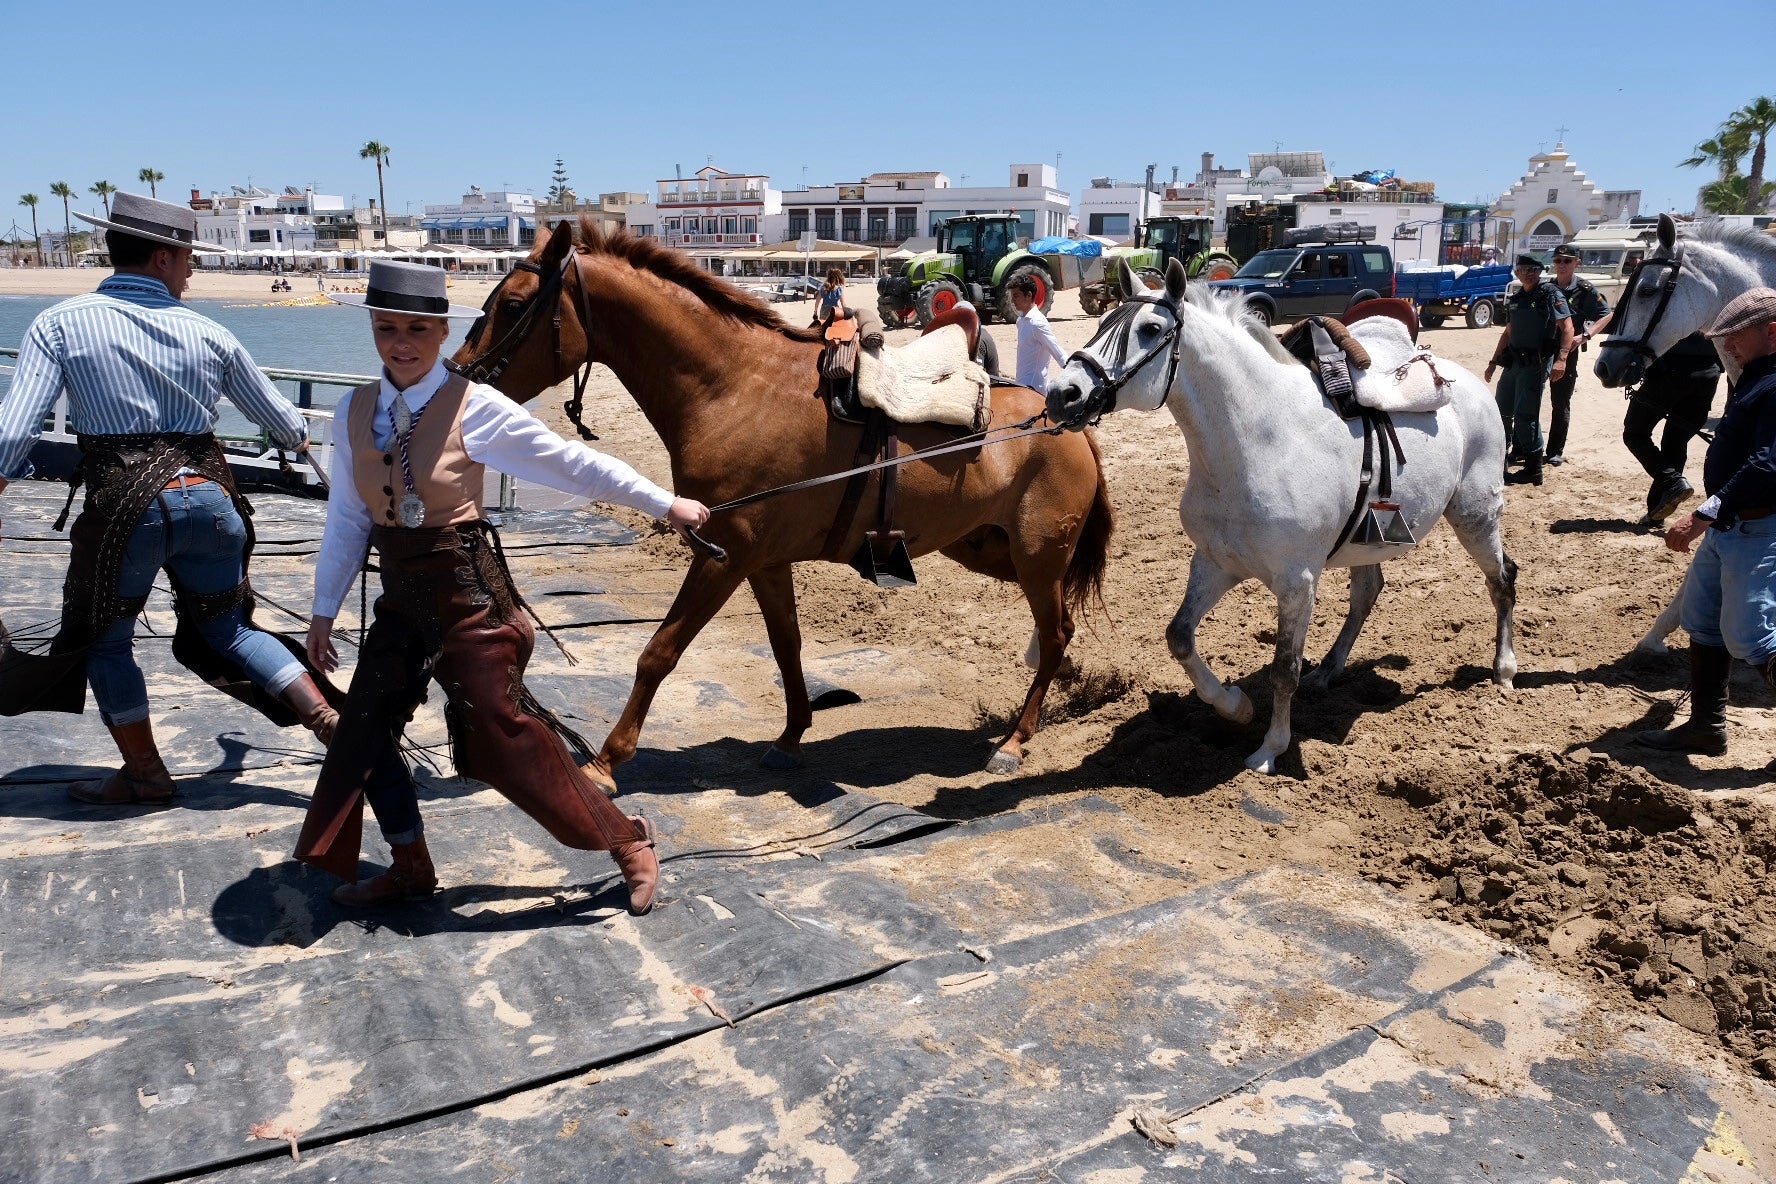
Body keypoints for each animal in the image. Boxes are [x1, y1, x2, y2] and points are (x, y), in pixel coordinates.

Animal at [447, 221, 1108, 795]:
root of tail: (1065, 417)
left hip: (1036, 556)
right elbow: (787, 646)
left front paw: (607, 762)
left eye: (514, 304)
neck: (735, 388)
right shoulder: (763, 563)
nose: (457, 375)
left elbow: (659, 653)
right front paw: (791, 736)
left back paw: (1016, 740)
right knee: (1059, 630)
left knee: (1056, 632)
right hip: (991, 550)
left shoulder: (722, 557)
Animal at [1044, 257, 1520, 777]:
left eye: (1150, 329)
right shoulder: (1215, 563)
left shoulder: (1298, 583)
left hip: (1475, 516)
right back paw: (1330, 670)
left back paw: (1504, 670)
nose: (1063, 394)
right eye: (1101, 324)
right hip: (1369, 540)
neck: (1257, 442)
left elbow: (1283, 669)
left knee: (1502, 579)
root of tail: (1468, 383)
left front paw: (1271, 748)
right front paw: (1235, 707)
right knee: (1367, 593)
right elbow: (1179, 637)